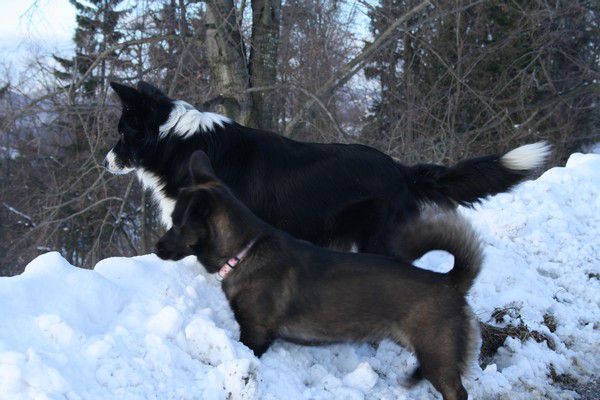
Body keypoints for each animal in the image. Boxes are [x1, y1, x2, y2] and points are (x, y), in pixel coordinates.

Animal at [155, 151, 482, 400]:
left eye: (177, 223)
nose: (157, 248)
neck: (244, 250)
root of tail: (449, 281)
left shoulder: (255, 334)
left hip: (438, 356)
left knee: (456, 391)